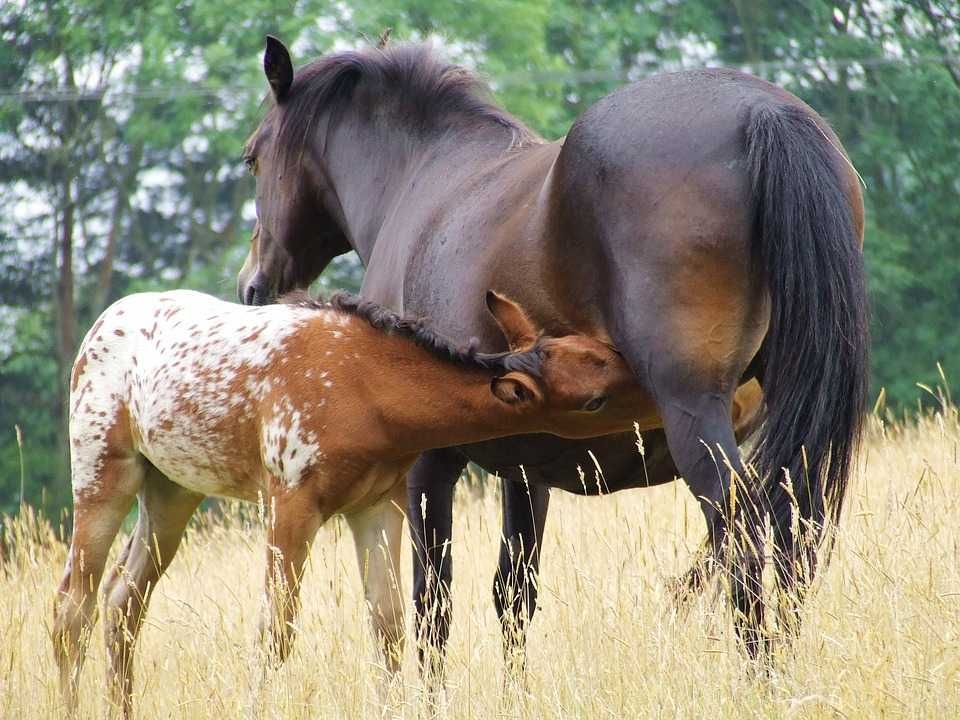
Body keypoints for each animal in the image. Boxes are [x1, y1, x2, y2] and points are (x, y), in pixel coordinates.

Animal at [52, 286, 644, 716]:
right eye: (593, 401)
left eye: (590, 345)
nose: (640, 369)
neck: (369, 393)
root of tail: (97, 329)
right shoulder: (290, 499)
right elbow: (277, 630)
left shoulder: (378, 504)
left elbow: (388, 626)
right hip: (102, 470)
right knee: (73, 606)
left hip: (172, 489)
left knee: (122, 602)